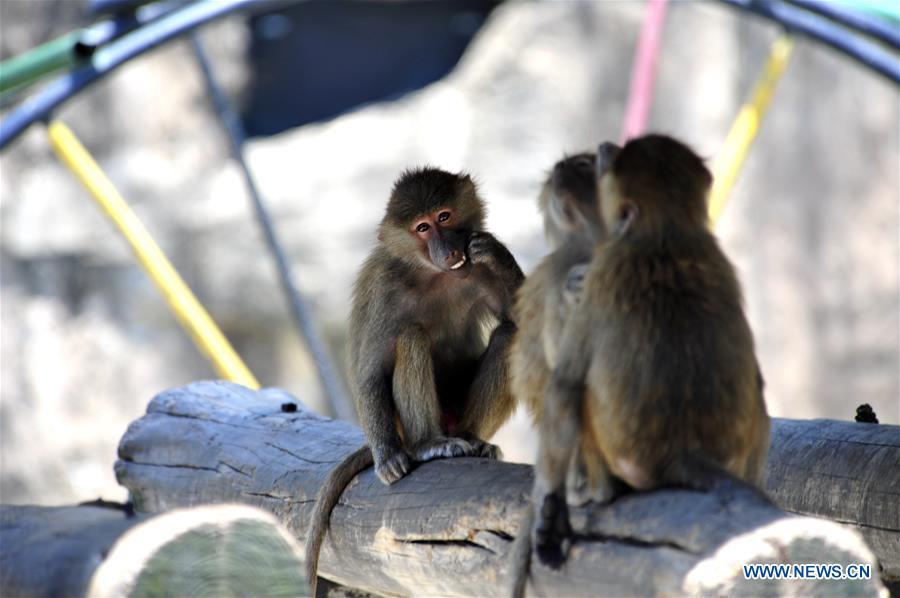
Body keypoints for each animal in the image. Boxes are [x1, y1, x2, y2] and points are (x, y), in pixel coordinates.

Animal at [306, 165, 524, 596]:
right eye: (422, 228)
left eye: (444, 217)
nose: (449, 251)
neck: (431, 273)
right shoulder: (384, 287)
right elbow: (371, 369)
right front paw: (388, 458)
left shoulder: (479, 269)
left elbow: (524, 322)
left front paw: (493, 250)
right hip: (408, 422)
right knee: (410, 336)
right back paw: (428, 445)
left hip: (459, 413)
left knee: (509, 334)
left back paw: (473, 441)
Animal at [524, 134, 768, 584]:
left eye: (585, 165)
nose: (564, 168)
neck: (663, 233)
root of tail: (683, 451)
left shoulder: (595, 278)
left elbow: (564, 385)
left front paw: (551, 513)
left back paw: (595, 491)